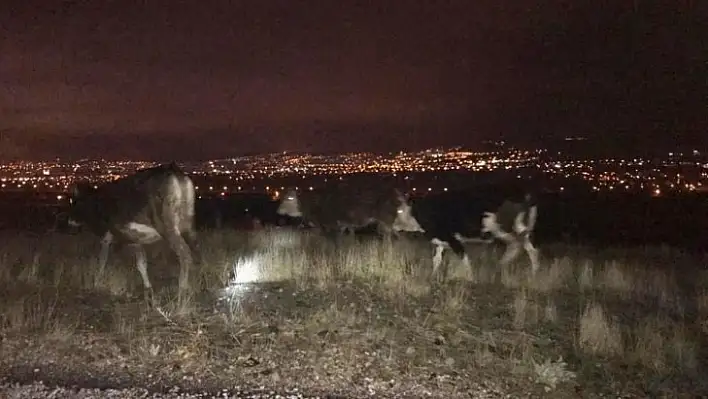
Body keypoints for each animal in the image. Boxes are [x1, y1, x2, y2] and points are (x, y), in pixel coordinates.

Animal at [67, 162, 199, 300]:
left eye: (75, 202)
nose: (69, 221)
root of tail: (176, 174)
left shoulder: (121, 234)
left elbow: (103, 259)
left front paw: (96, 282)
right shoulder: (131, 237)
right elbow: (142, 263)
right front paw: (148, 288)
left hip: (167, 226)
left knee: (185, 254)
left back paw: (182, 289)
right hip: (189, 223)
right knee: (195, 250)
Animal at [276, 183, 410, 239]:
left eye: (289, 198)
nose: (278, 211)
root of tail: (394, 192)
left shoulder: (330, 225)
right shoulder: (343, 225)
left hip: (386, 220)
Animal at [392, 184, 544, 278]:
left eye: (399, 210)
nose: (393, 226)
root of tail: (525, 193)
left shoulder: (453, 239)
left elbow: (464, 258)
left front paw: (471, 278)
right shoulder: (441, 239)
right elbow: (437, 259)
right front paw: (433, 275)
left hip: (502, 228)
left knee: (516, 245)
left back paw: (501, 264)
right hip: (520, 227)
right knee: (531, 249)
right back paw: (533, 273)